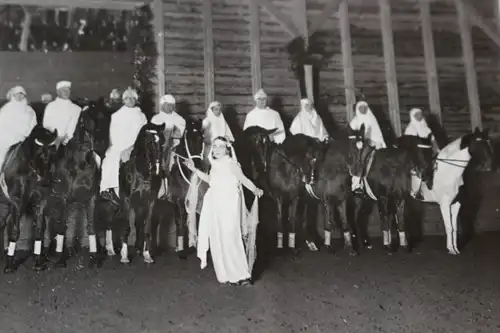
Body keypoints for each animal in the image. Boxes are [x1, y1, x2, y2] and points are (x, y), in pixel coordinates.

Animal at [1, 124, 57, 272]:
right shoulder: (17, 201)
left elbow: (39, 230)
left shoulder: (40, 202)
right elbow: (15, 231)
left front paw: (38, 262)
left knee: (7, 222)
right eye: (40, 153)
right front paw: (9, 265)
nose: (45, 181)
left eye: (53, 154)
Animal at [44, 107, 102, 268]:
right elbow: (62, 227)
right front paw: (61, 259)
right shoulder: (63, 199)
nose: (93, 146)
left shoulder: (91, 197)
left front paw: (94, 257)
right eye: (82, 123)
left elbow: (91, 227)